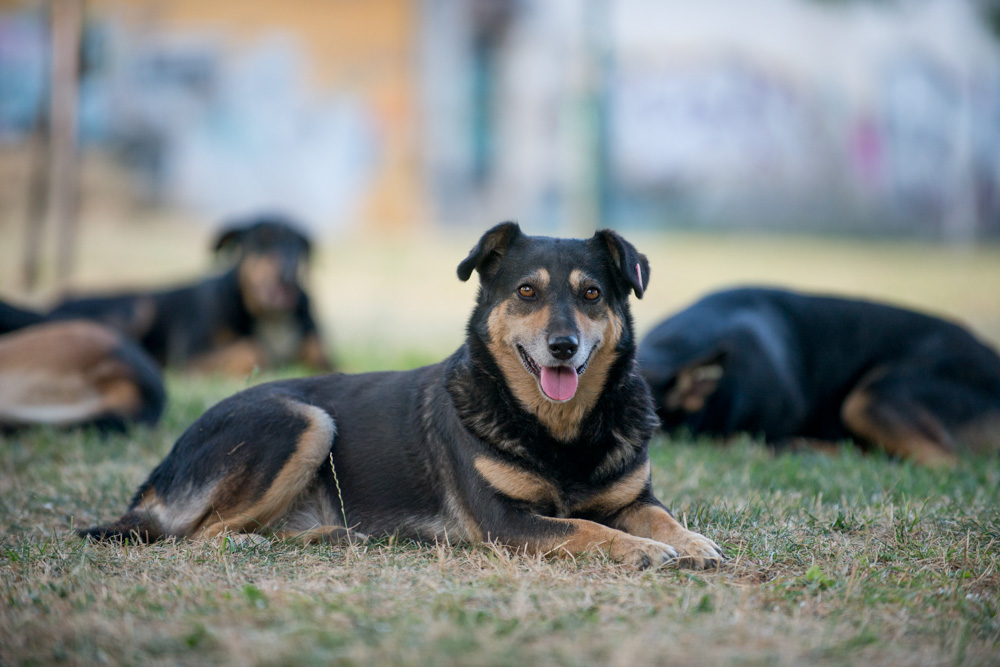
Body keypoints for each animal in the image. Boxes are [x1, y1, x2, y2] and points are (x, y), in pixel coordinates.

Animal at [49, 214, 332, 376]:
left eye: (295, 246)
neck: (271, 315)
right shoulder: (192, 352)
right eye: (261, 243)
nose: (288, 269)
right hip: (140, 306)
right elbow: (252, 348)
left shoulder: (320, 354)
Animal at [82, 222, 724, 572]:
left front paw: (693, 543)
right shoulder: (506, 523)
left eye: (591, 294)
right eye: (526, 291)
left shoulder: (634, 495)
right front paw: (640, 550)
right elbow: (586, 530)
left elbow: (661, 517)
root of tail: (161, 467)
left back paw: (330, 534)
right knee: (203, 536)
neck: (559, 428)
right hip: (303, 420)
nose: (562, 346)